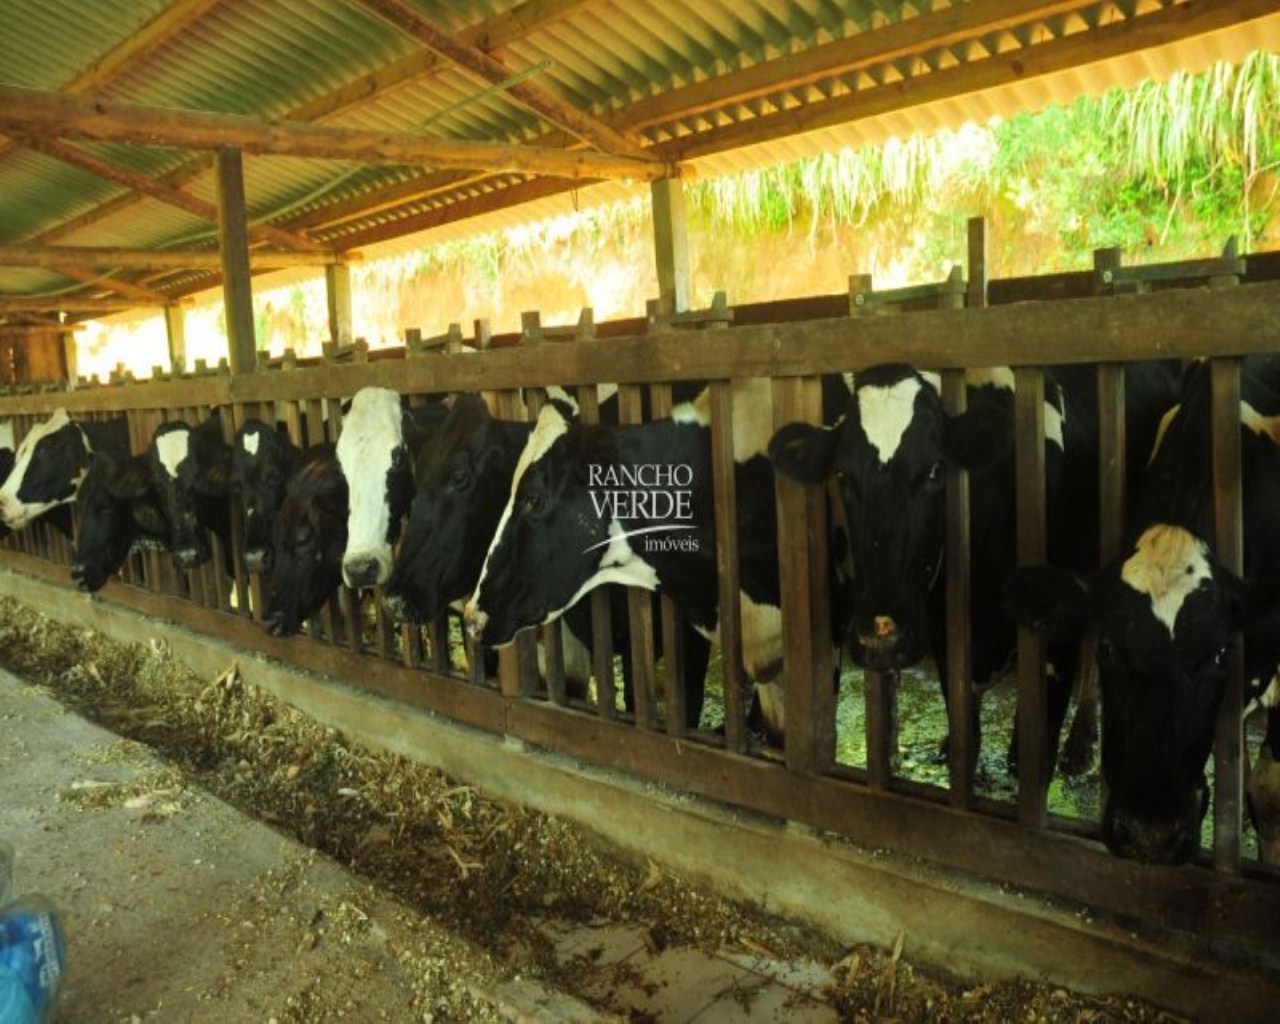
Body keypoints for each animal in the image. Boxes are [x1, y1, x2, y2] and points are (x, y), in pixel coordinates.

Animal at [762, 363, 1172, 773]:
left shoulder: (1057, 638)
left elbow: (1028, 757)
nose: (881, 639)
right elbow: (967, 740)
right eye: (843, 476)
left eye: (934, 469)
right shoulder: (946, 634)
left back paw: (1082, 739)